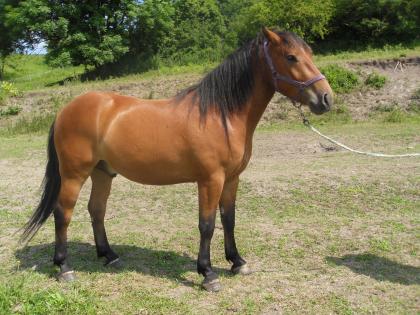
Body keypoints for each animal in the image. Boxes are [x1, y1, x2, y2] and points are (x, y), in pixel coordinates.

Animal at [21, 28, 334, 292]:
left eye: (310, 53)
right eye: (291, 57)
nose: (326, 98)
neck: (220, 115)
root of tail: (66, 109)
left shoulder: (232, 179)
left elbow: (229, 219)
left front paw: (237, 262)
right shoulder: (210, 180)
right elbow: (207, 225)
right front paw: (207, 274)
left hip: (102, 173)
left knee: (96, 210)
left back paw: (109, 255)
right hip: (74, 174)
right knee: (63, 213)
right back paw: (64, 267)